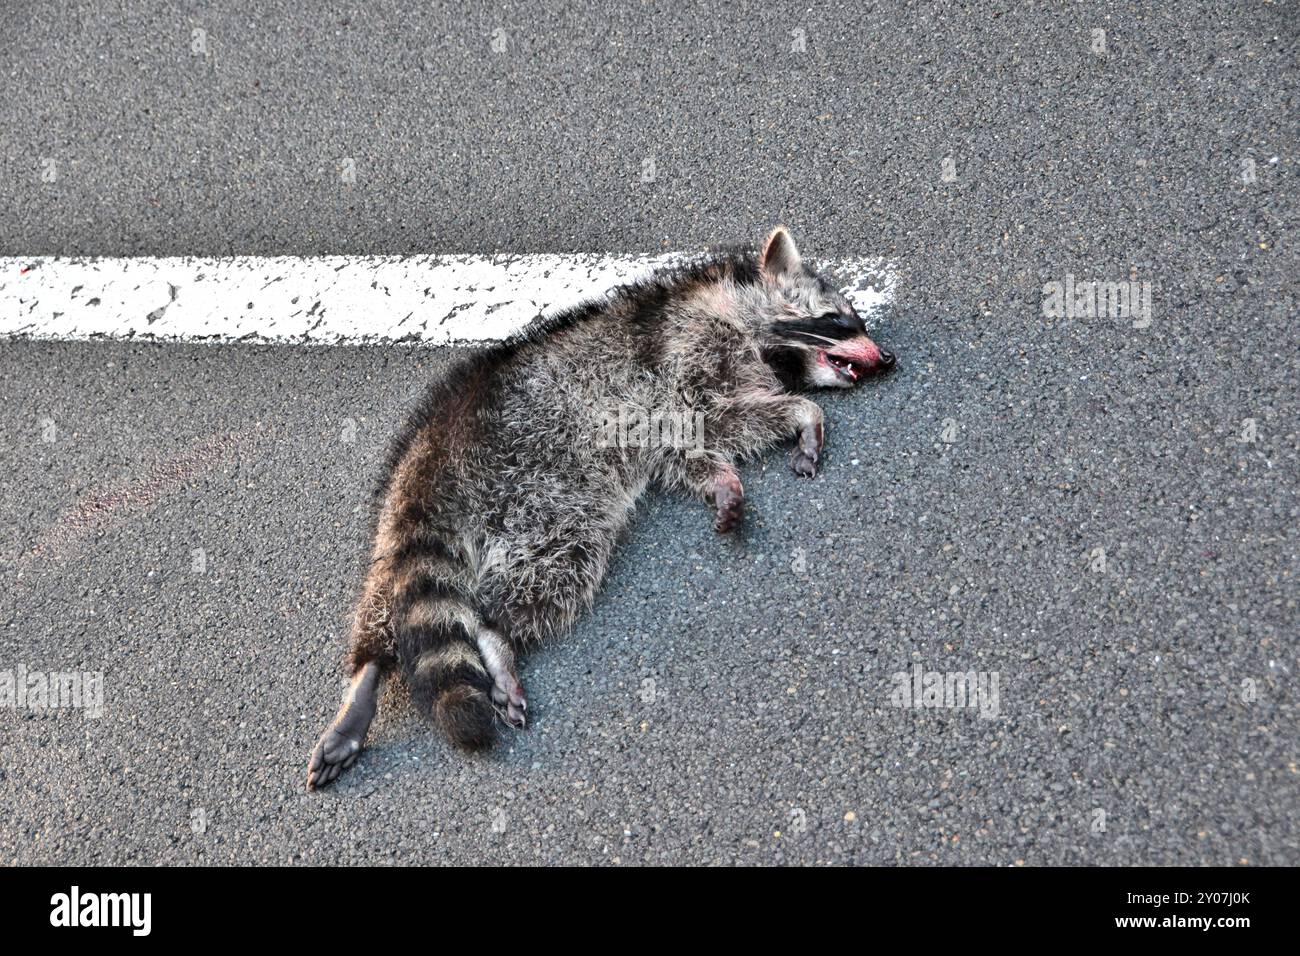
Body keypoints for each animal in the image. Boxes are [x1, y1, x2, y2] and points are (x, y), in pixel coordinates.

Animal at [305, 227, 894, 790]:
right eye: (839, 317)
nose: (888, 358)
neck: (736, 310)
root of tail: (434, 449)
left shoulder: (671, 410)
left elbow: (697, 450)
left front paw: (726, 478)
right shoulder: (687, 354)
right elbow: (719, 416)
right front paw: (804, 414)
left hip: (454, 524)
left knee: (405, 603)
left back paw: (380, 669)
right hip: (535, 484)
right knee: (546, 575)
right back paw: (494, 634)